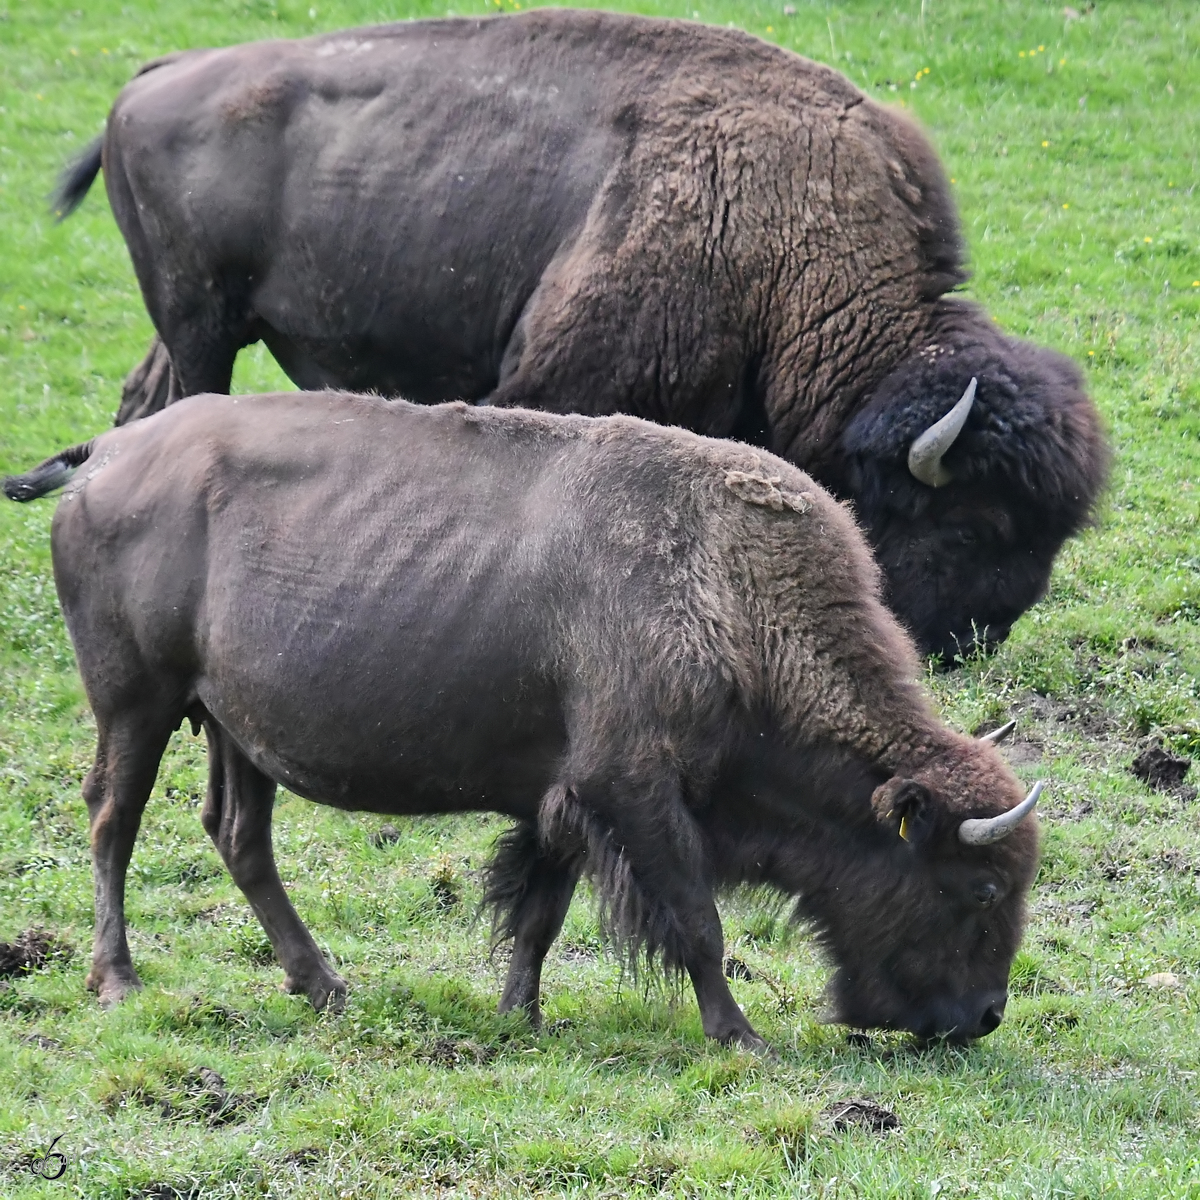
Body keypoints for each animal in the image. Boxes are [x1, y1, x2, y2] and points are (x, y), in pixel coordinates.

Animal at [7, 396, 1041, 1051]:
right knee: (113, 819)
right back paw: (119, 979)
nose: (985, 1016)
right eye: (980, 889)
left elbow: (540, 912)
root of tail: (105, 456)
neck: (725, 586)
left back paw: (326, 986)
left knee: (237, 834)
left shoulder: (563, 798)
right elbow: (697, 925)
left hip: (229, 726)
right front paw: (740, 1036)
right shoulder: (635, 792)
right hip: (137, 703)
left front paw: (519, 1015)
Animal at [54, 11, 1104, 667]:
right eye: (976, 522)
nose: (970, 643)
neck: (792, 238)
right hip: (202, 327)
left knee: (138, 405)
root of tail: (154, 76)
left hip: (200, 327)